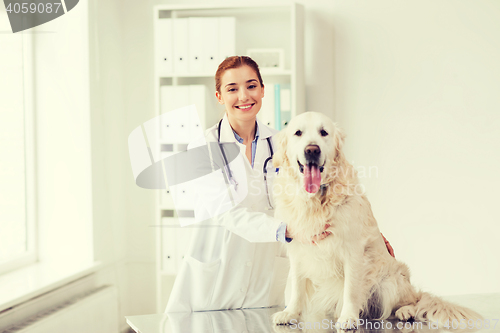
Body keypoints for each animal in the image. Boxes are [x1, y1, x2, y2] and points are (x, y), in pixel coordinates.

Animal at [272, 111, 482, 330]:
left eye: (324, 132)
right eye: (298, 133)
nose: (312, 150)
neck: (315, 201)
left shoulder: (353, 251)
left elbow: (350, 289)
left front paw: (348, 317)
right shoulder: (298, 250)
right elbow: (296, 287)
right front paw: (290, 313)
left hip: (392, 280)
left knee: (412, 301)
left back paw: (406, 311)